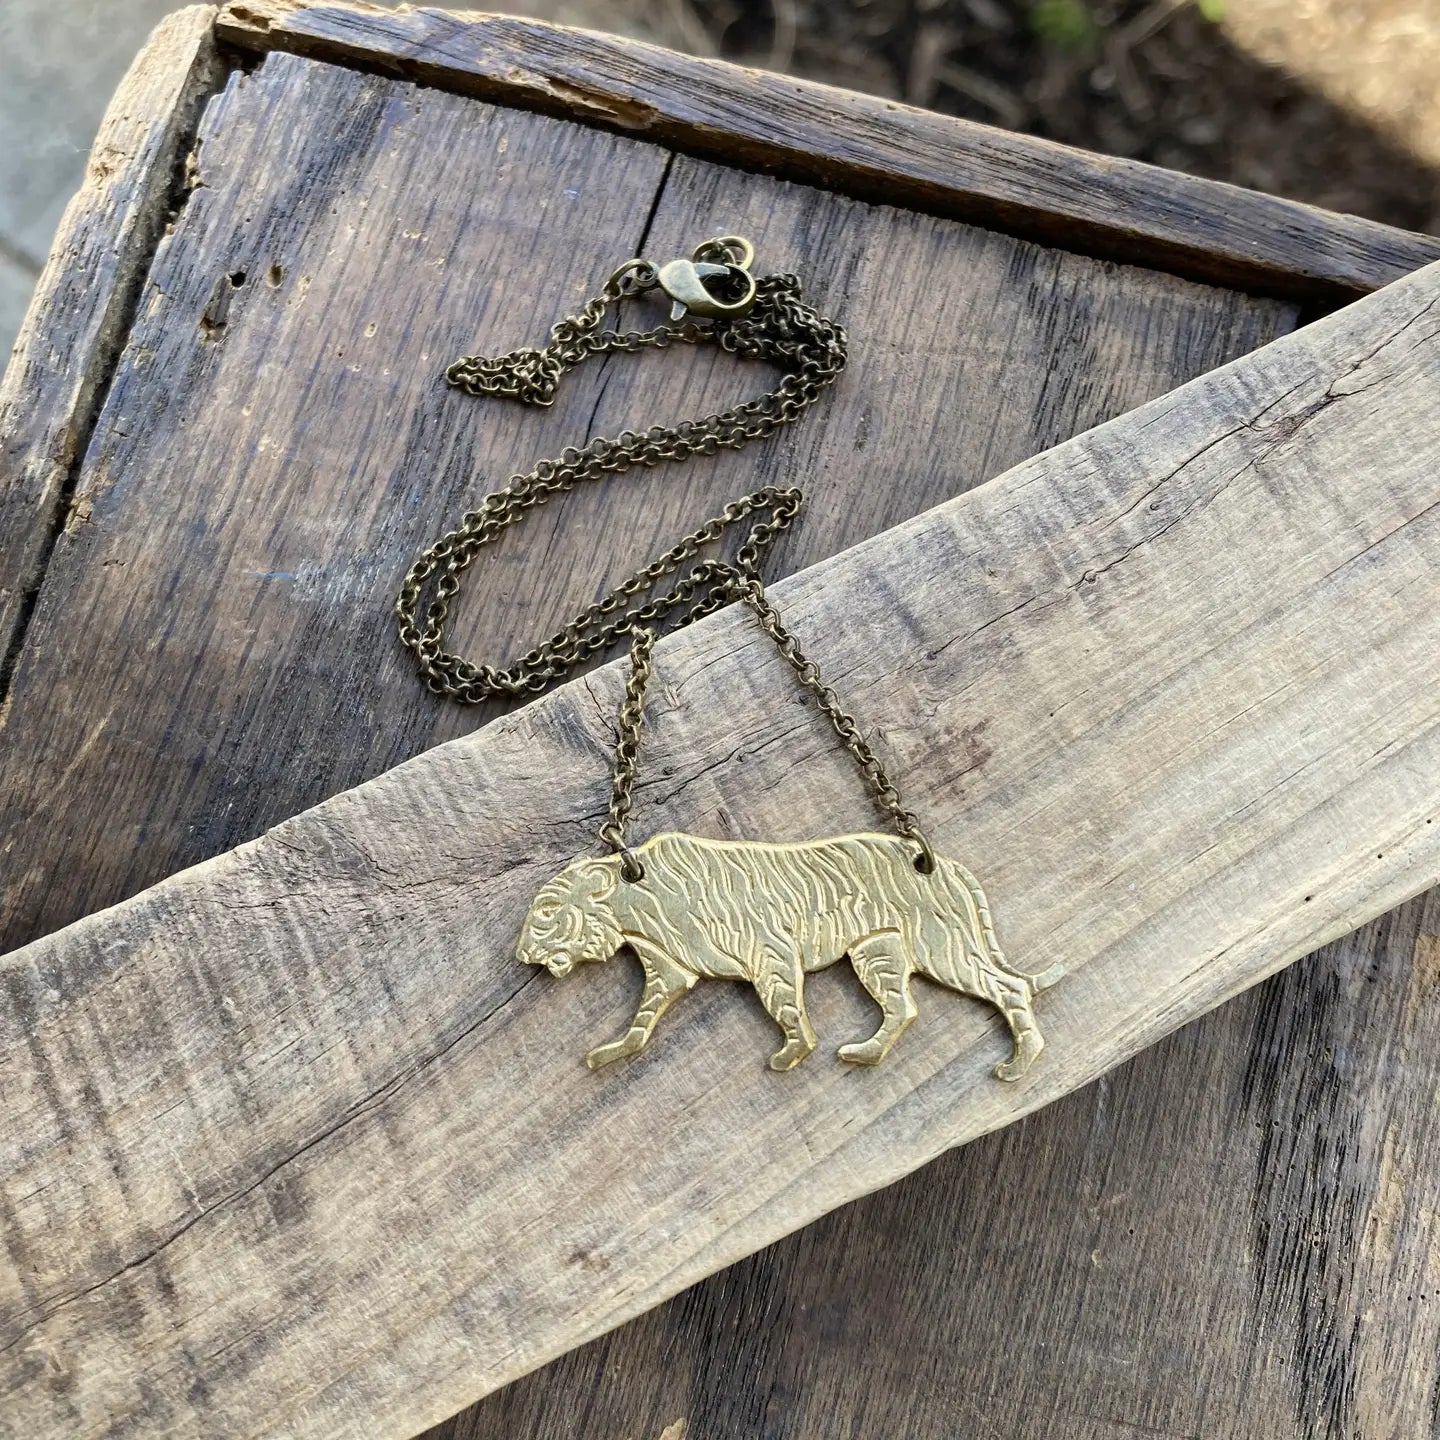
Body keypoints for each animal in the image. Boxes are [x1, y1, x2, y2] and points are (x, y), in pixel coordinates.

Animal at [516, 831, 1063, 1079]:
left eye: (545, 910)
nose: (522, 954)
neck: (635, 905)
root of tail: (941, 862)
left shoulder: (769, 952)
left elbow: (783, 1006)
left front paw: (793, 1053)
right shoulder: (666, 971)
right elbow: (641, 1019)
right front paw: (614, 1051)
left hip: (941, 945)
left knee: (1009, 986)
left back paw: (1019, 1064)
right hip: (876, 953)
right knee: (904, 1007)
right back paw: (865, 1053)